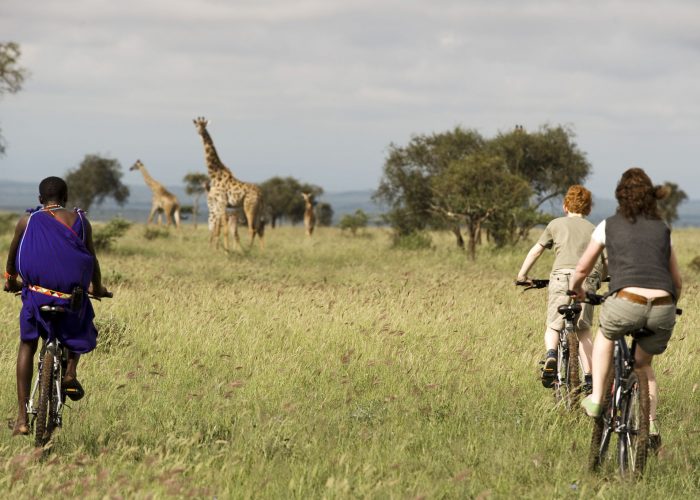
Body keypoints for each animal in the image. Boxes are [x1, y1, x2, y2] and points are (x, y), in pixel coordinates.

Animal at [191, 116, 266, 250]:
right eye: (196, 125)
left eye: (204, 125)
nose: (200, 132)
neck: (215, 173)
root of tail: (261, 194)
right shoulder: (218, 205)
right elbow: (217, 230)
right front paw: (217, 249)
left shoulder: (221, 202)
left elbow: (223, 229)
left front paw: (225, 250)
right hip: (258, 209)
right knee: (259, 229)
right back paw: (261, 251)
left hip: (249, 206)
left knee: (252, 229)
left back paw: (247, 250)